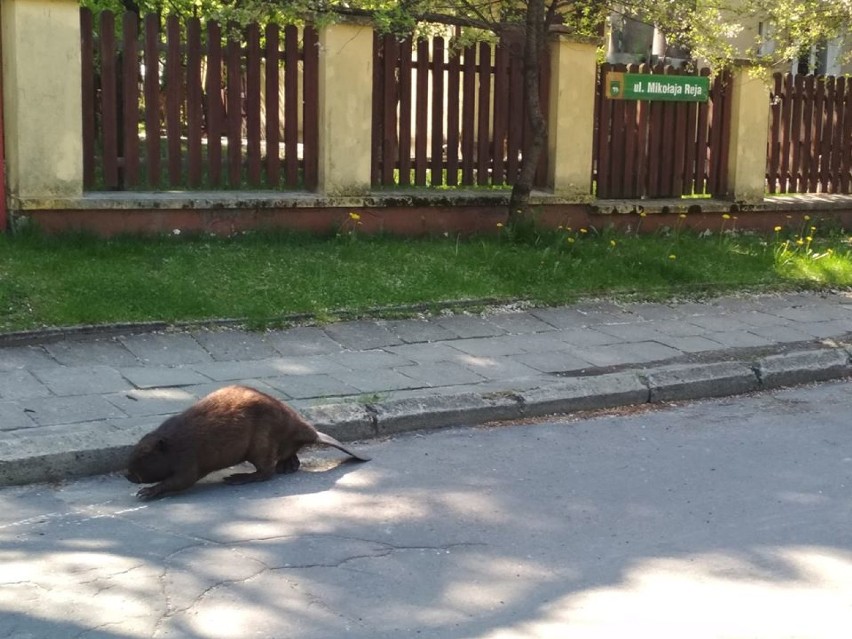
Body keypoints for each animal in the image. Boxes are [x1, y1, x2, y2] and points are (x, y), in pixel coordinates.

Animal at [124, 384, 370, 500]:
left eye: (144, 456)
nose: (127, 475)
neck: (172, 442)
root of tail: (311, 432)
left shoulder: (188, 456)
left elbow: (183, 480)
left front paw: (147, 492)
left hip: (261, 442)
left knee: (266, 471)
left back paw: (237, 478)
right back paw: (288, 466)